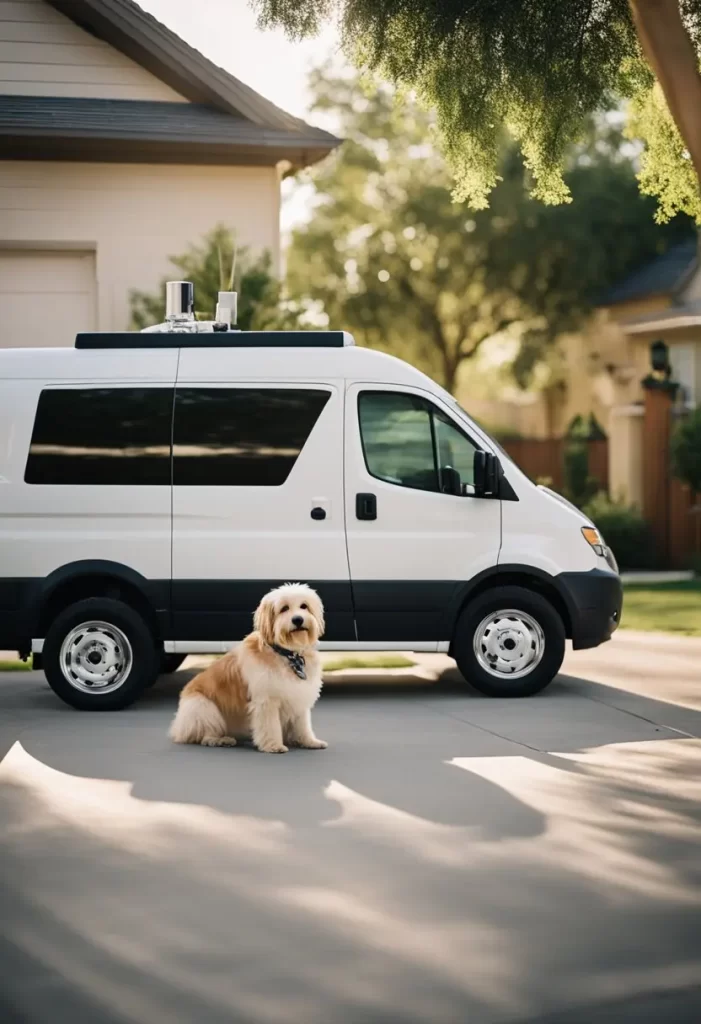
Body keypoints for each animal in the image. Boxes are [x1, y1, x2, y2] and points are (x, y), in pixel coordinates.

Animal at [167, 585, 327, 753]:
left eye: (304, 606)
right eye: (284, 608)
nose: (298, 619)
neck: (288, 654)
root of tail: (177, 728)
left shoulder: (299, 696)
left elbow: (303, 725)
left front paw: (309, 741)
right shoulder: (266, 701)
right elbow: (270, 725)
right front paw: (273, 745)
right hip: (202, 707)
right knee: (205, 736)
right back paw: (221, 740)